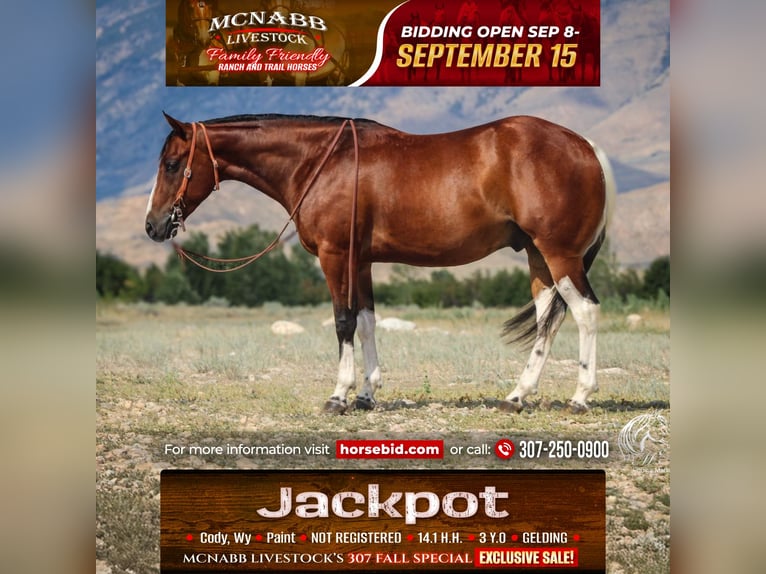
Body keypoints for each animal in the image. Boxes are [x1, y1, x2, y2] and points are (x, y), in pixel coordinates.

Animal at [145, 113, 616, 414]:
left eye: (172, 164)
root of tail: (585, 146)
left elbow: (343, 322)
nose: (153, 225)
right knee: (547, 320)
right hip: (538, 257)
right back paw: (517, 396)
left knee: (586, 312)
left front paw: (339, 395)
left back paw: (580, 397)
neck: (321, 161)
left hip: (560, 255)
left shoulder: (336, 256)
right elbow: (368, 321)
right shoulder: (361, 262)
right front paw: (367, 395)